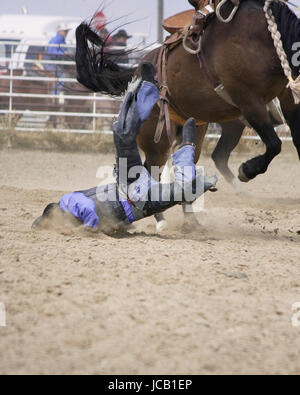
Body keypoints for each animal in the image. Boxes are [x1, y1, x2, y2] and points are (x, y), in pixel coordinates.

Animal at [76, 0, 300, 229]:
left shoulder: (288, 97)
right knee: (152, 170)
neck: (261, 40)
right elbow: (274, 144)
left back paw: (191, 221)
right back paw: (160, 219)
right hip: (158, 141)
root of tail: (136, 71)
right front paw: (246, 170)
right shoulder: (249, 102)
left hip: (193, 132)